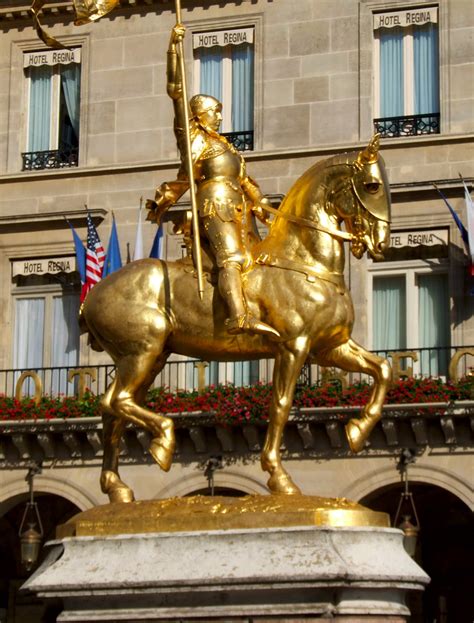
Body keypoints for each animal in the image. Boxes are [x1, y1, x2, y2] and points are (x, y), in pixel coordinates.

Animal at [81, 135, 392, 502]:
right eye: (372, 186)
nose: (381, 243)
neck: (305, 262)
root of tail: (92, 295)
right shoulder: (294, 347)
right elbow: (281, 405)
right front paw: (279, 477)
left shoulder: (330, 347)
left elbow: (383, 370)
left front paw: (357, 431)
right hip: (143, 350)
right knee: (116, 401)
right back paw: (164, 441)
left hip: (151, 357)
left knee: (112, 410)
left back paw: (117, 488)